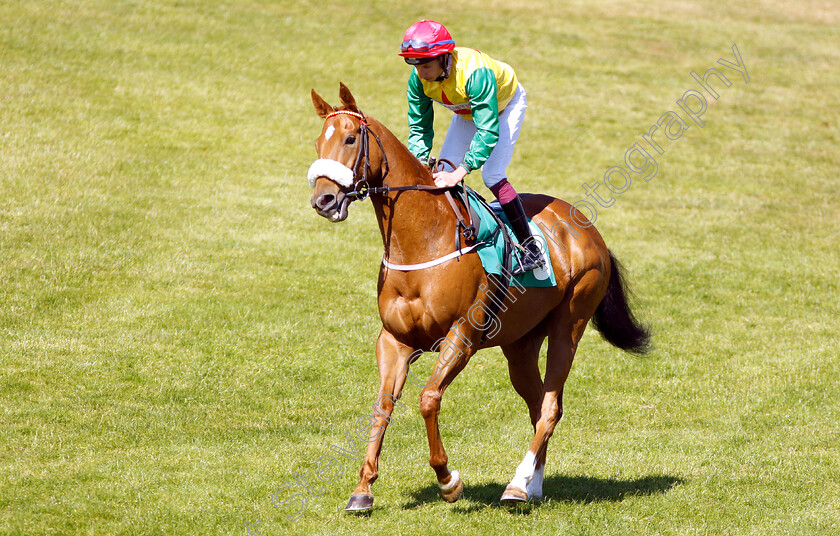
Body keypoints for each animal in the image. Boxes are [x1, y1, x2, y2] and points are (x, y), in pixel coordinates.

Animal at [306, 82, 648, 510]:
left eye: (351, 138)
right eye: (318, 142)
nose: (323, 201)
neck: (422, 240)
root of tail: (588, 229)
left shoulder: (462, 336)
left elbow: (428, 398)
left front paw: (448, 479)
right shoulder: (394, 340)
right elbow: (382, 407)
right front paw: (363, 490)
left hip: (569, 325)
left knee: (550, 407)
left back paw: (517, 485)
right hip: (520, 344)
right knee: (538, 405)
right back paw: (532, 484)